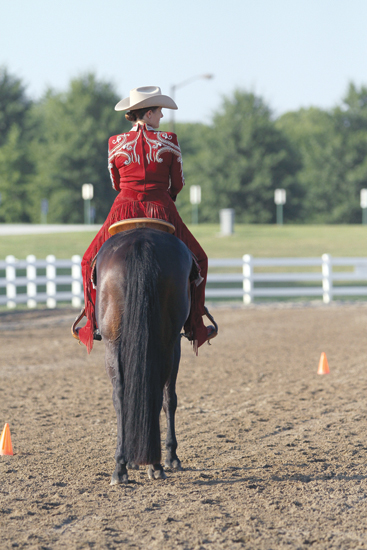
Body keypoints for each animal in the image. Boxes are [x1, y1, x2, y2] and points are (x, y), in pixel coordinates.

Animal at [95, 226, 194, 486]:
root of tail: (141, 242)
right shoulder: (175, 345)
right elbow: (171, 399)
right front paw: (172, 456)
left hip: (113, 343)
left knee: (121, 395)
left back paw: (122, 466)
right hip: (165, 343)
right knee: (156, 393)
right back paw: (154, 463)